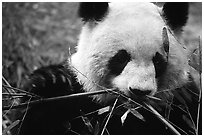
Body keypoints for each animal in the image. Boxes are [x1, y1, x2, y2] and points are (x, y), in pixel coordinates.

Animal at [18, 2, 200, 135]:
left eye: (158, 61)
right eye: (122, 57)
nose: (139, 91)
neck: (124, 110)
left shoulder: (180, 99)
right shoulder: (79, 91)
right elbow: (33, 119)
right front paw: (52, 80)